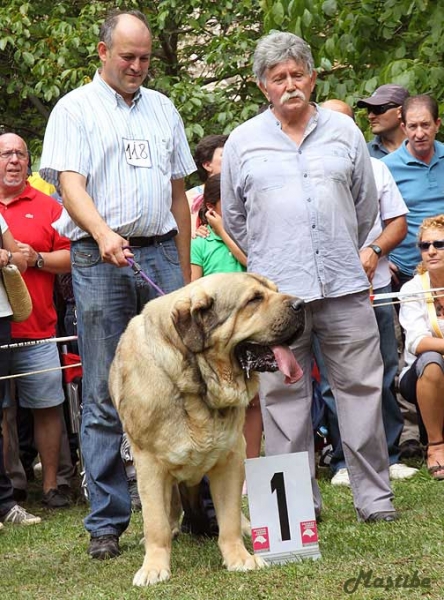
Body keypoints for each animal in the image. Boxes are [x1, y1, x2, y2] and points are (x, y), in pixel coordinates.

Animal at [110, 272, 306, 584]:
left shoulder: (231, 457)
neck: (197, 380)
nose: (302, 305)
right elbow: (155, 523)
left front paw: (239, 558)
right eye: (254, 299)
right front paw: (153, 567)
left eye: (275, 290)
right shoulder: (148, 463)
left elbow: (229, 517)